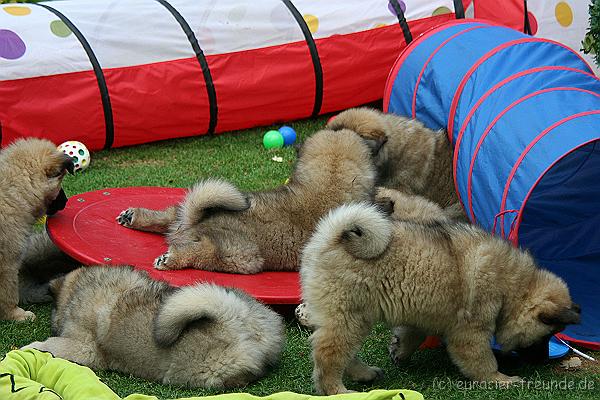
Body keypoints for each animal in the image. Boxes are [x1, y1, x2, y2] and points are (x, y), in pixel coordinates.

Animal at [23, 266, 284, 388]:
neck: (80, 289)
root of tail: (238, 317)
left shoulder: (83, 347)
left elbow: (52, 345)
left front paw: (30, 347)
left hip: (203, 370)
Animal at [117, 130, 378, 274]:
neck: (330, 179)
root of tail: (194, 221)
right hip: (241, 257)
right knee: (201, 252)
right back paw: (171, 259)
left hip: (187, 211)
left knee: (170, 213)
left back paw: (133, 217)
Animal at [302, 203, 580, 394]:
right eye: (547, 335)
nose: (543, 360)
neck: (512, 286)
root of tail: (331, 238)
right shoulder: (471, 330)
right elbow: (482, 360)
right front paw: (500, 380)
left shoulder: (418, 315)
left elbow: (410, 336)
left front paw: (399, 352)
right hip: (349, 316)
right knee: (329, 355)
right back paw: (337, 390)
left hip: (353, 318)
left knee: (343, 353)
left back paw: (365, 374)